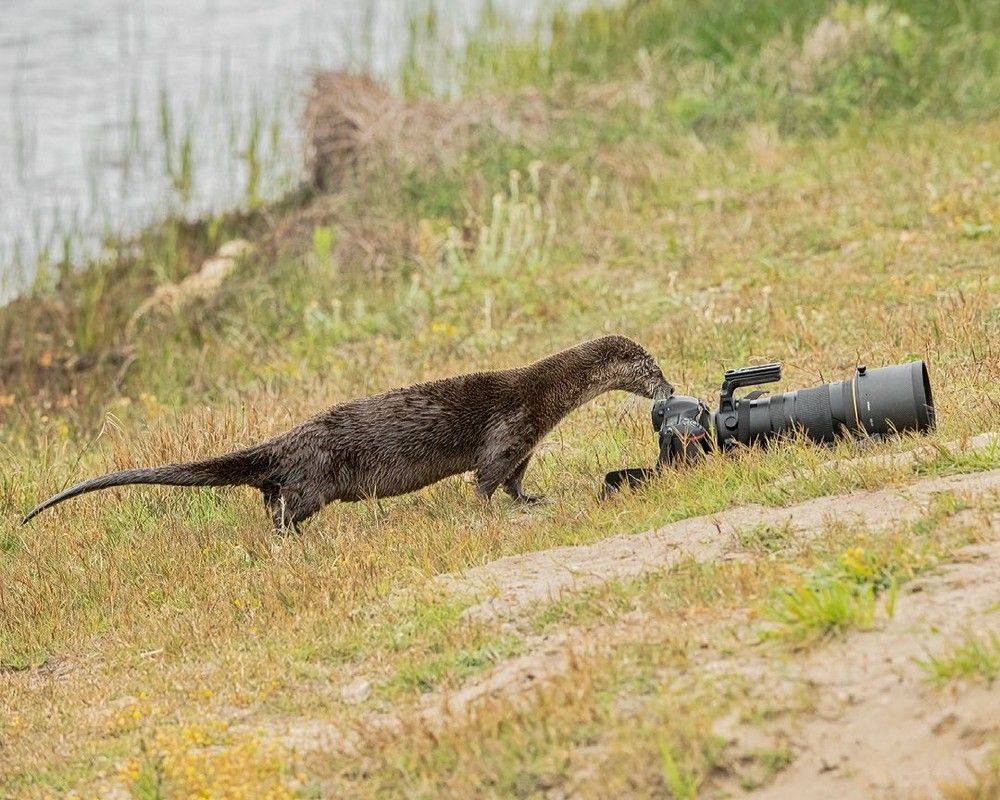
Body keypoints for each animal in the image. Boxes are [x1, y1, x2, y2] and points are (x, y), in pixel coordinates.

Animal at [21, 336, 672, 532]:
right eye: (652, 369)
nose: (668, 390)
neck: (542, 396)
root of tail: (287, 439)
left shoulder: (525, 445)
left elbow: (516, 480)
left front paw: (531, 498)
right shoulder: (509, 432)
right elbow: (486, 479)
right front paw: (487, 509)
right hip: (314, 479)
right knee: (285, 503)